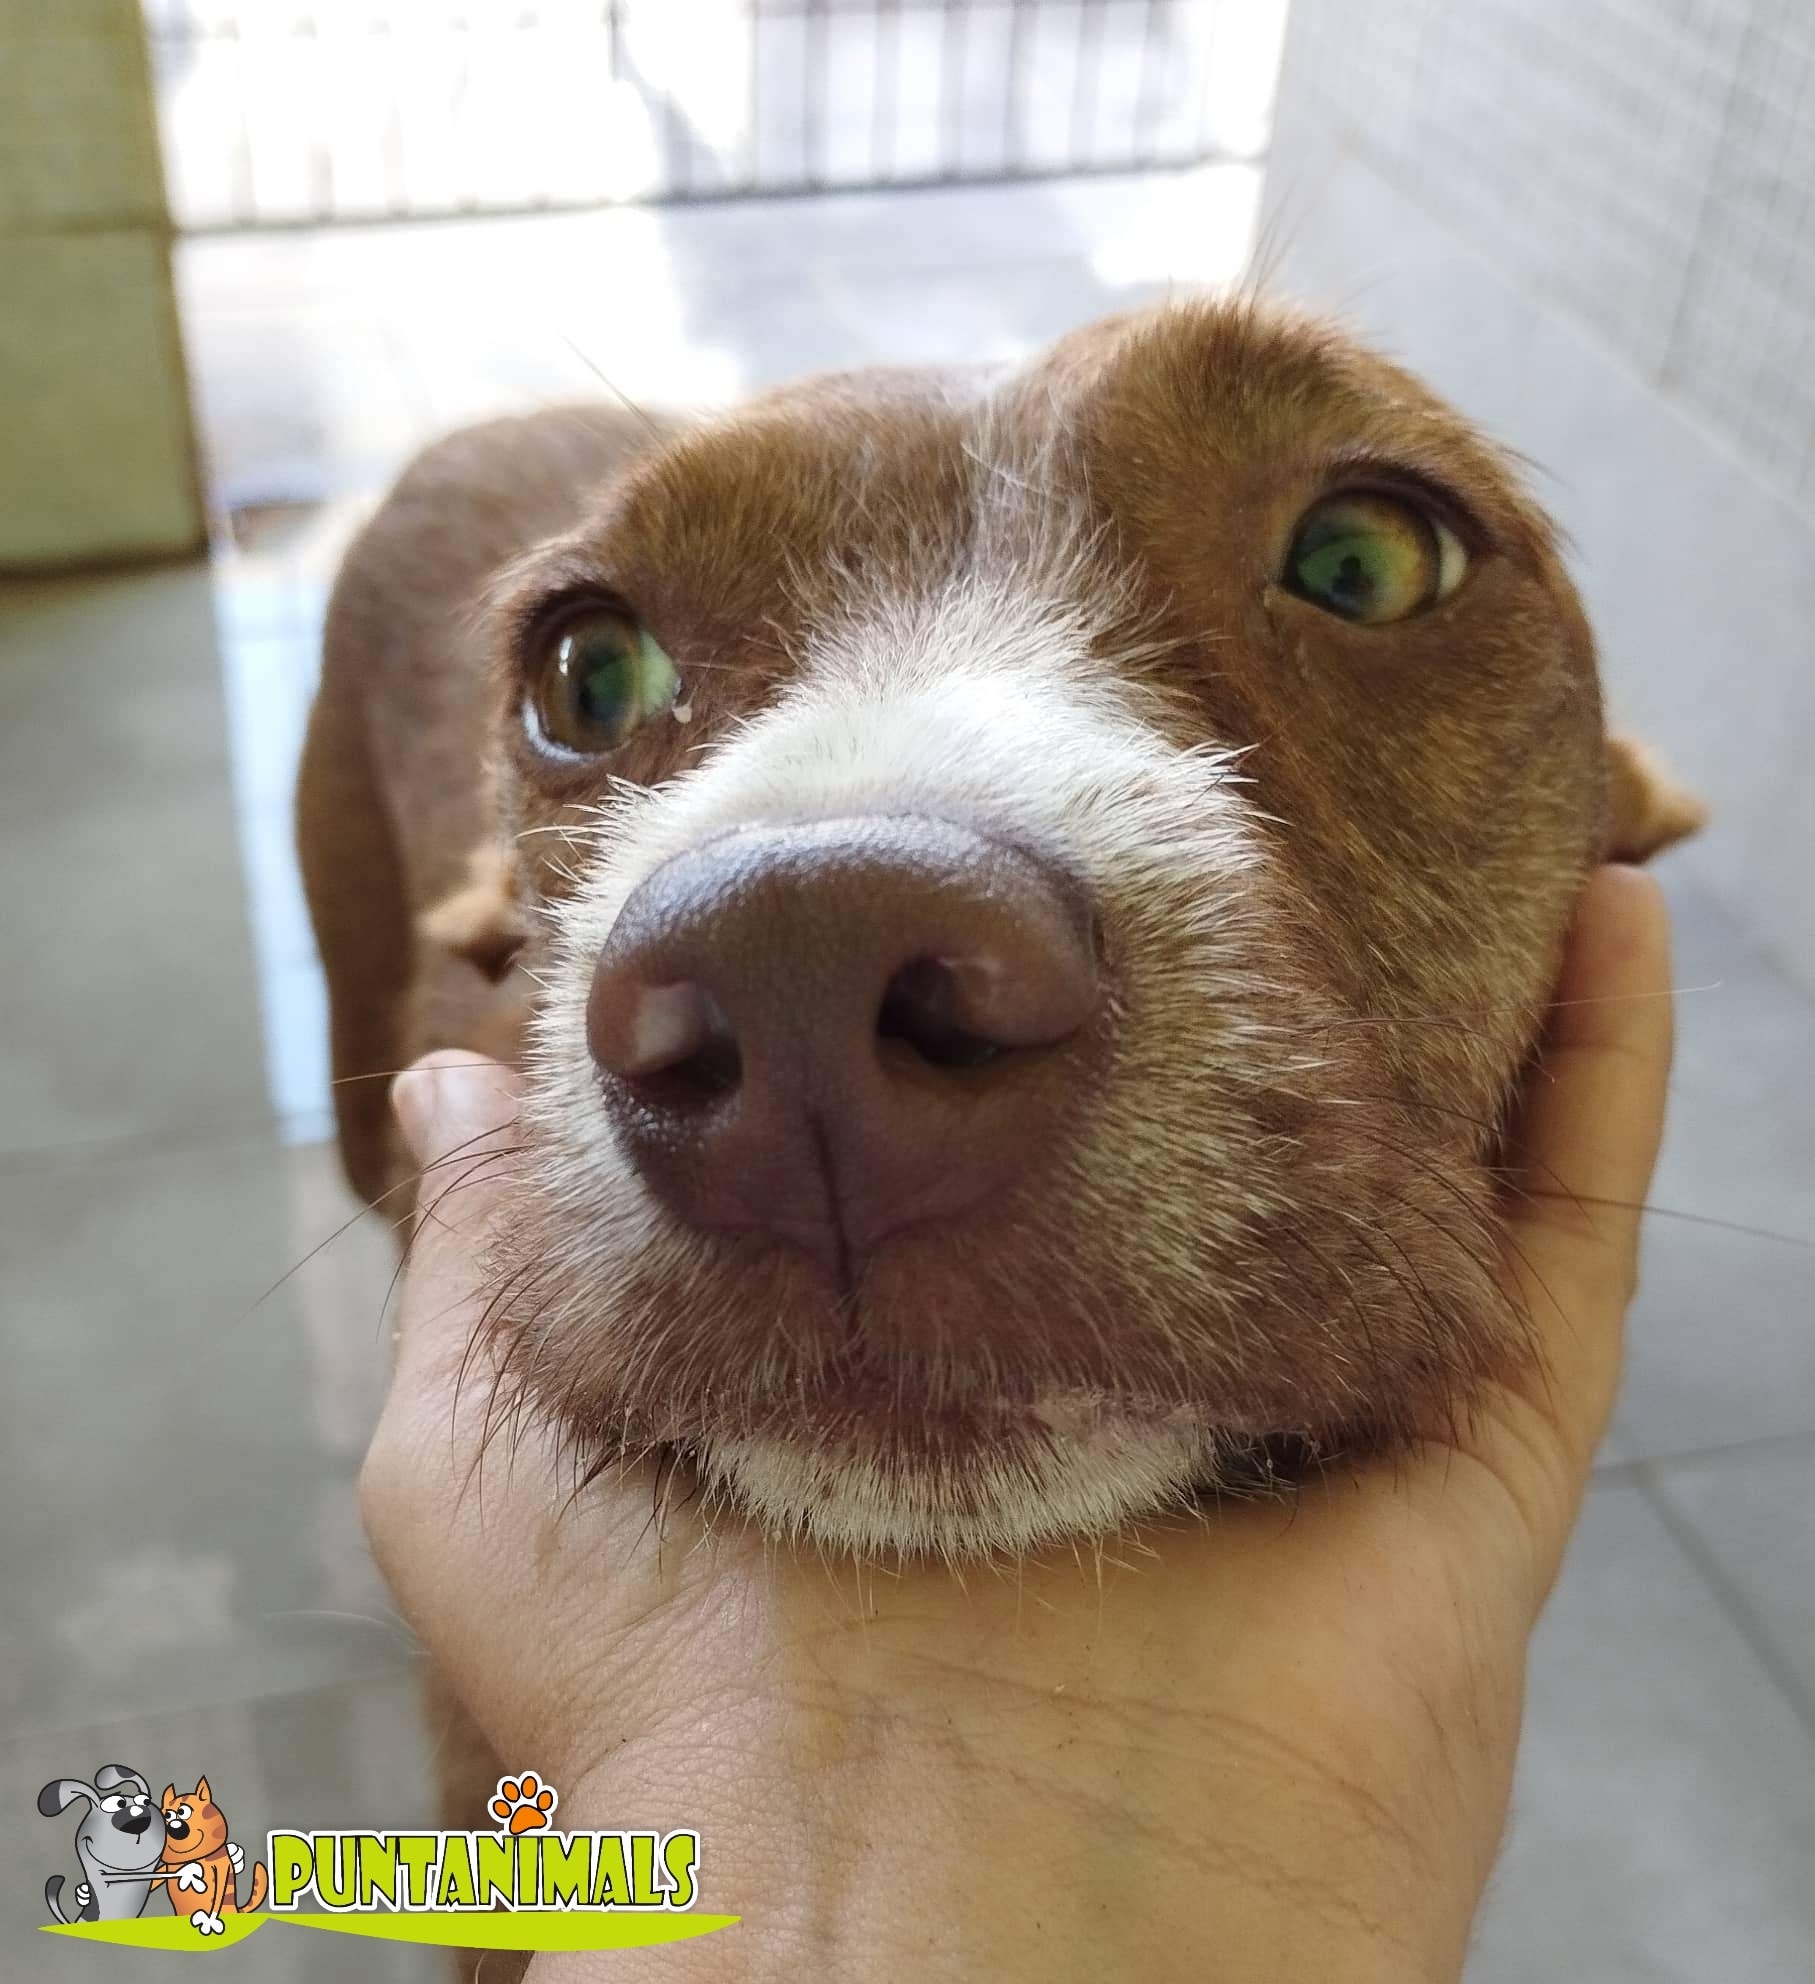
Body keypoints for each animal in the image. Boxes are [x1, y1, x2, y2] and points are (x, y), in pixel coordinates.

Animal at [154, 1776, 267, 1936]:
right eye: (167, 1816)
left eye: (183, 1812)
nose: (172, 1828)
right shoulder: (168, 1869)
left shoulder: (221, 1868)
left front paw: (209, 1922)